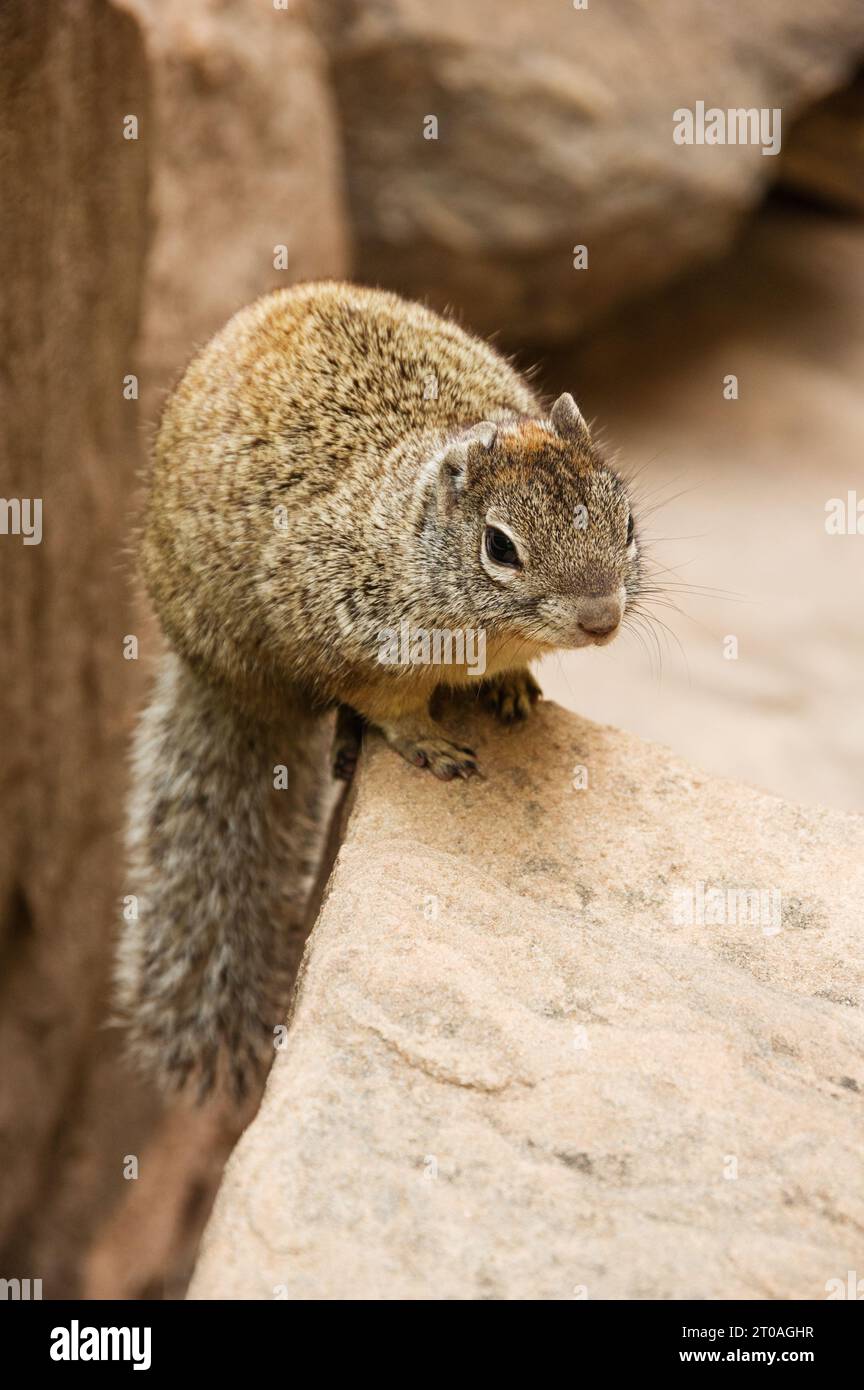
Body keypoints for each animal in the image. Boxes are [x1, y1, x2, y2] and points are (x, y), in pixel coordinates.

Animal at [115, 279, 644, 1095]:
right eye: (500, 547)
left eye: (627, 522)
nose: (601, 619)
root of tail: (205, 671)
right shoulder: (331, 631)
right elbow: (384, 704)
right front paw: (427, 741)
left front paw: (513, 687)